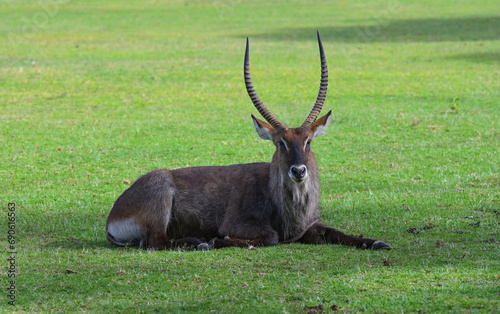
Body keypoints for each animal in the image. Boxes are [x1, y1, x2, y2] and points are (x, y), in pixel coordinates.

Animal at [107, 32, 392, 250]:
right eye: (280, 143)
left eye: (308, 141)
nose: (298, 171)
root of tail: (112, 218)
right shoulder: (236, 223)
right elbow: (270, 236)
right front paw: (218, 240)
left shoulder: (310, 226)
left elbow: (333, 231)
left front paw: (376, 242)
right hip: (161, 190)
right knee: (155, 241)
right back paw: (200, 242)